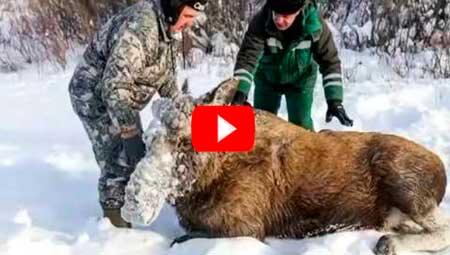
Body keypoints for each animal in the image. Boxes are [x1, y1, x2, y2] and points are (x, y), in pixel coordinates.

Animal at [121, 78, 448, 254]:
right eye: (148, 138)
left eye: (184, 141)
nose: (133, 205)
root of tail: (441, 169)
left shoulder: (247, 228)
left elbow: (179, 240)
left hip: (404, 183)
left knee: (442, 227)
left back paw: (389, 243)